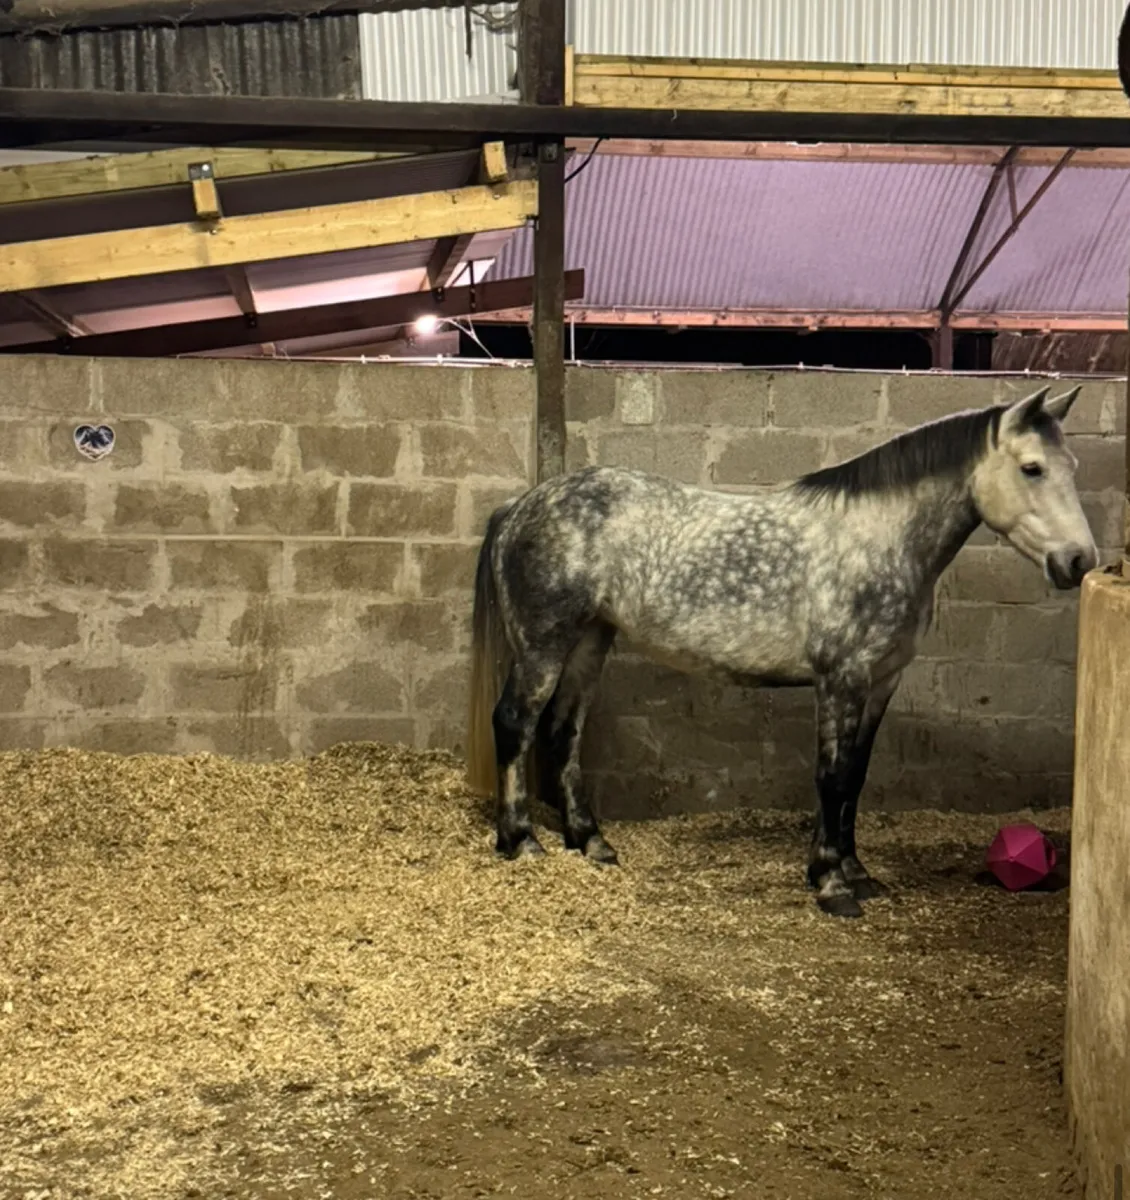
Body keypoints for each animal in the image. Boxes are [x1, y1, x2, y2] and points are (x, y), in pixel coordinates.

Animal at [464, 384, 1097, 918]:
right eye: (1032, 468)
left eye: (1071, 467)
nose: (1079, 562)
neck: (878, 538)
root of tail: (519, 507)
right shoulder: (841, 678)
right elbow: (832, 777)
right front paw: (831, 884)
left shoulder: (881, 681)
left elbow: (856, 776)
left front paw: (856, 871)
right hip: (543, 646)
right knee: (516, 724)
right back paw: (521, 841)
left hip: (589, 641)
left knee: (561, 732)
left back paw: (590, 841)